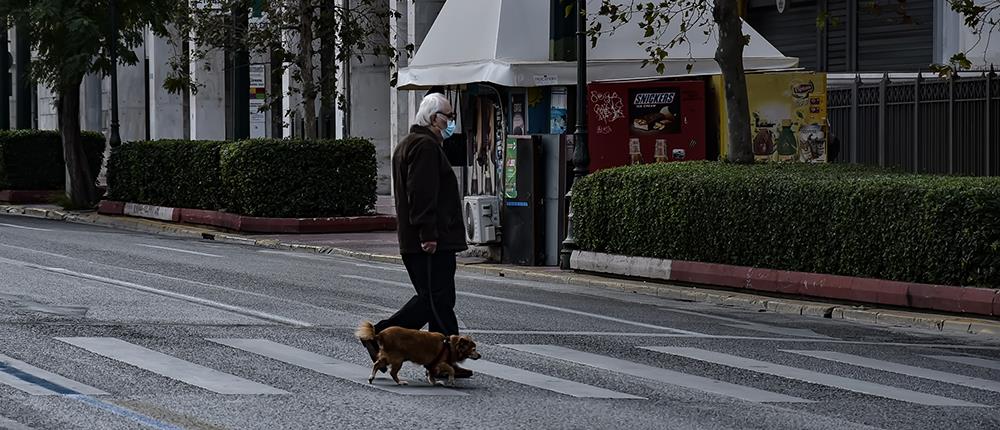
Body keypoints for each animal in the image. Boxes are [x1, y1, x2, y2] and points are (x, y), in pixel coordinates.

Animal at [354, 320, 482, 384]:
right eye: (474, 350)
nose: (480, 355)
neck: (450, 345)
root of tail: (380, 335)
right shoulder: (439, 363)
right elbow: (451, 369)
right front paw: (451, 379)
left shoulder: (432, 366)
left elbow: (431, 375)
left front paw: (435, 382)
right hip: (397, 360)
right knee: (392, 373)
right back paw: (400, 382)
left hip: (387, 357)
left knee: (377, 364)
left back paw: (371, 377)